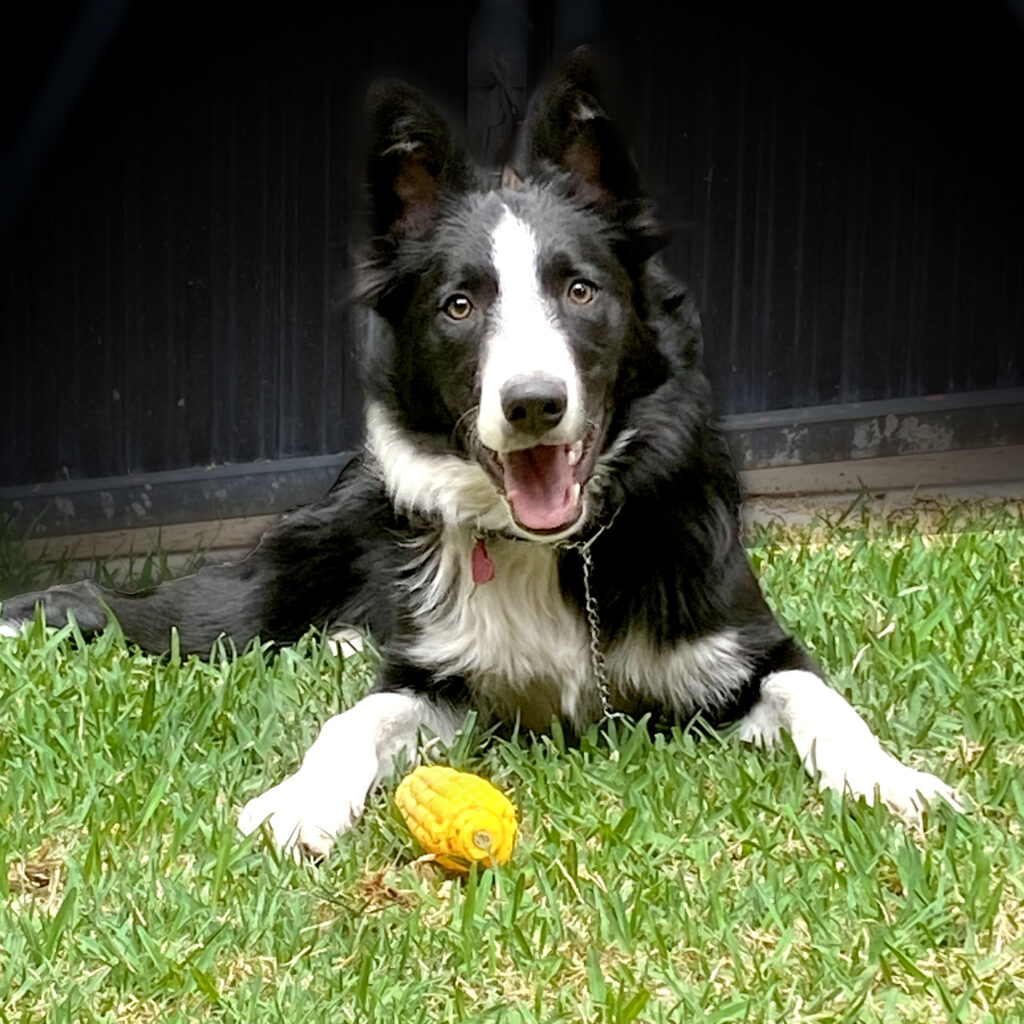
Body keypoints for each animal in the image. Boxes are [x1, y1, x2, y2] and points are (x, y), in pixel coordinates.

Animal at [0, 54, 958, 856]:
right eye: (459, 306)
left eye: (580, 290)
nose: (533, 404)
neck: (563, 554)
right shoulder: (435, 683)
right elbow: (352, 723)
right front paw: (303, 799)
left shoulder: (746, 652)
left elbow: (824, 700)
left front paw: (890, 779)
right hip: (242, 609)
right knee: (128, 607)